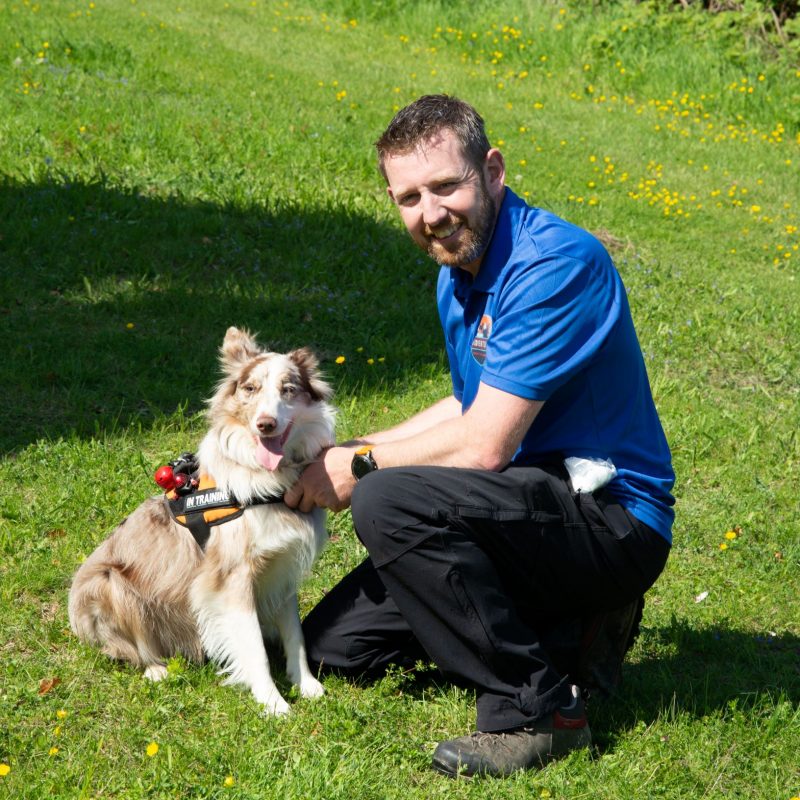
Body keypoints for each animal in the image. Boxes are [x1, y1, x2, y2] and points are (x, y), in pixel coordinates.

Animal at [65, 328, 334, 716]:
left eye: (288, 389)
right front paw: (272, 703)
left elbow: (294, 633)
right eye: (250, 388)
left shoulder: (281, 566)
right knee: (125, 648)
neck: (267, 481)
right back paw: (156, 669)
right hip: (109, 583)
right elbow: (252, 645)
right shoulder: (231, 578)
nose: (265, 424)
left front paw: (307, 684)